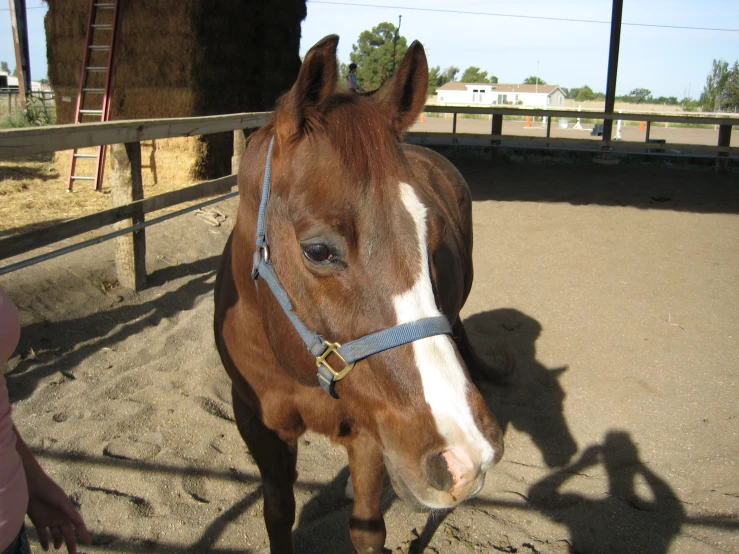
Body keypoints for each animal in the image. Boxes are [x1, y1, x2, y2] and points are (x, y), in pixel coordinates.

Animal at [214, 35, 502, 552]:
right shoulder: (257, 421)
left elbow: (367, 528)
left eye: (430, 239)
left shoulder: (369, 434)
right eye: (319, 250)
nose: (466, 453)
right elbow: (277, 513)